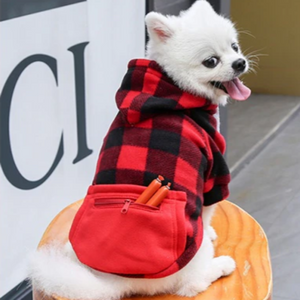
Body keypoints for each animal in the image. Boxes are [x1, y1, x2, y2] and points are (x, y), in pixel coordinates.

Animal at [29, 1, 251, 298]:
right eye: (211, 61)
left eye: (234, 47)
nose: (239, 63)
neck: (171, 87)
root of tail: (121, 279)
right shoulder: (213, 172)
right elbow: (206, 213)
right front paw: (212, 231)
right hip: (191, 253)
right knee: (190, 285)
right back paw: (220, 266)